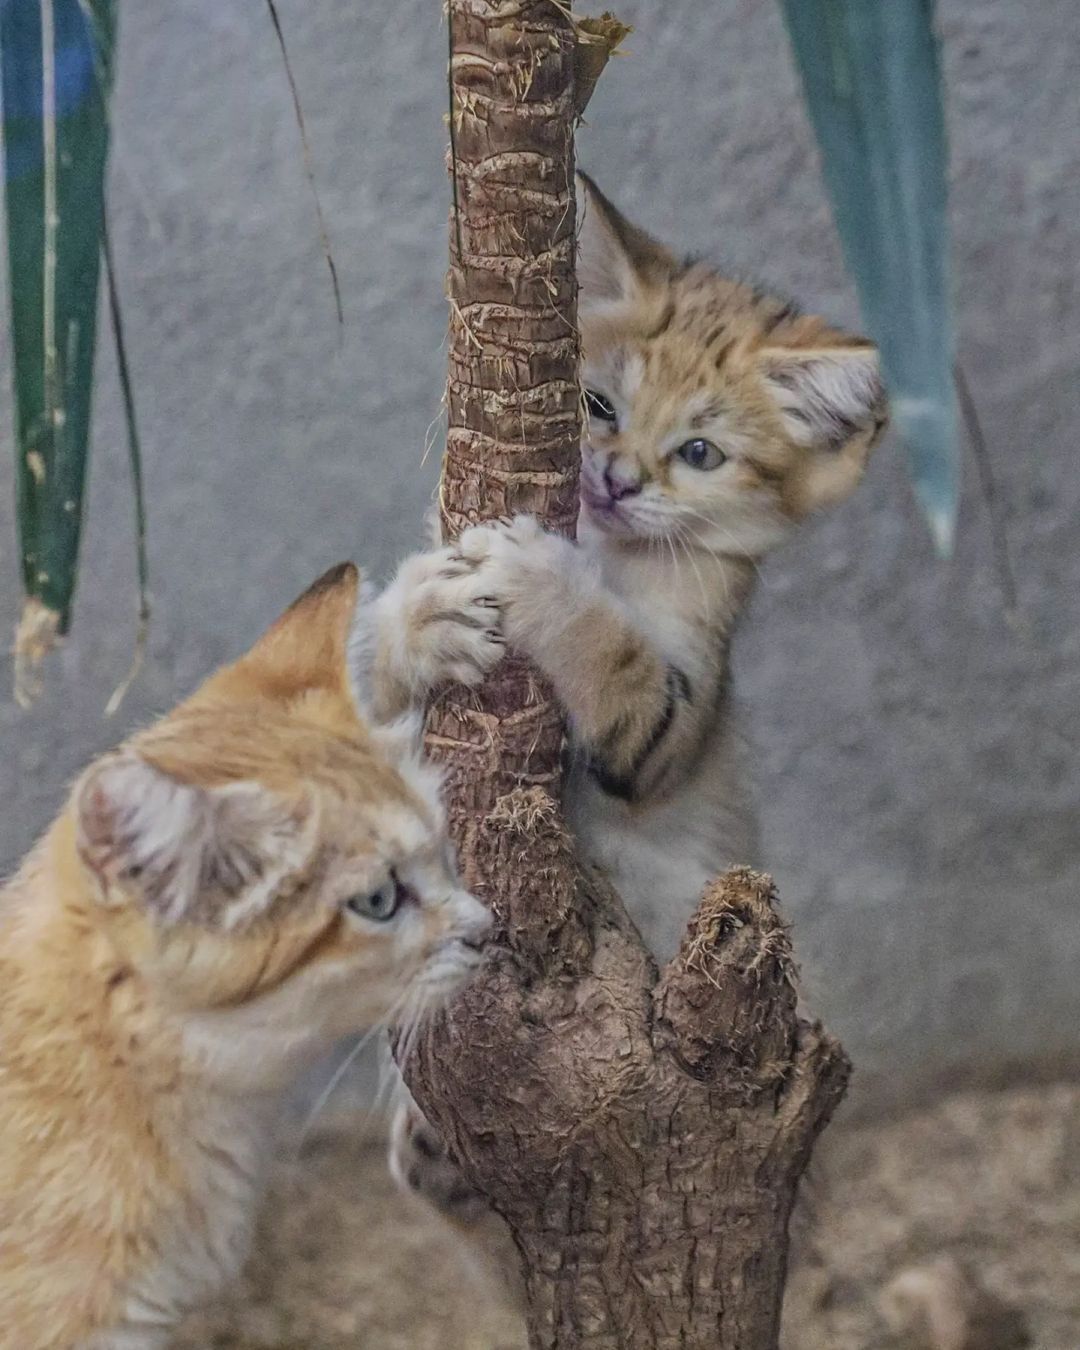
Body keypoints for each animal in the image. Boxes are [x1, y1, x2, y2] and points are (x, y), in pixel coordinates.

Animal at [388, 171, 885, 1274]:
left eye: (699, 452)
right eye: (596, 404)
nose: (615, 480)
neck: (615, 553)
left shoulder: (666, 725)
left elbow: (610, 647)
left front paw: (542, 582)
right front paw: (424, 614)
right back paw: (433, 1155)